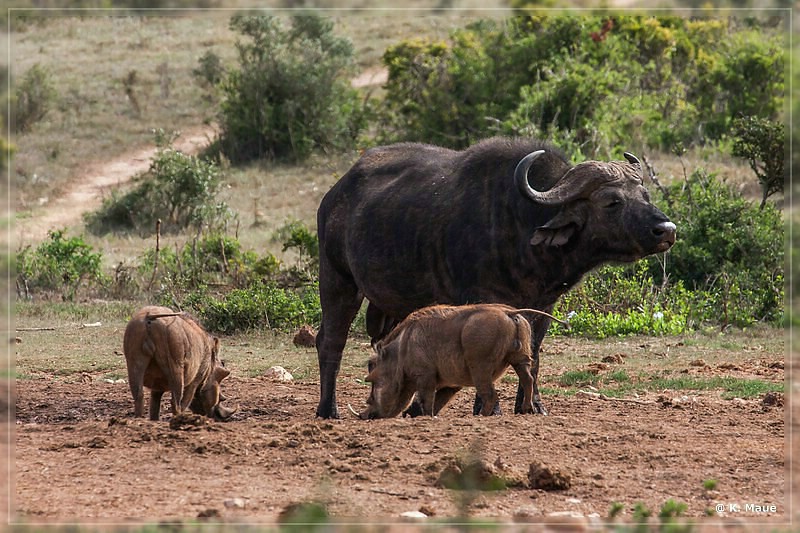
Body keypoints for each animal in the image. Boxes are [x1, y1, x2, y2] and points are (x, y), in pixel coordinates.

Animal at [314, 135, 676, 418]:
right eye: (612, 201)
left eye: (645, 196)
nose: (667, 230)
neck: (522, 228)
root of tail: (334, 196)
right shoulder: (480, 299)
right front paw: (489, 407)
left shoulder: (543, 306)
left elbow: (534, 355)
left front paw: (533, 405)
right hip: (338, 280)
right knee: (330, 342)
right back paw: (328, 409)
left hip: (392, 304)